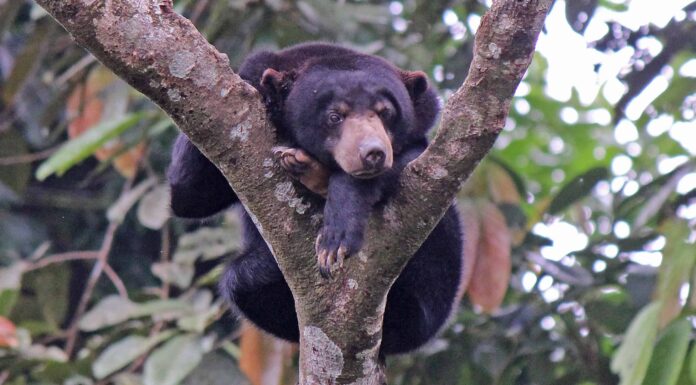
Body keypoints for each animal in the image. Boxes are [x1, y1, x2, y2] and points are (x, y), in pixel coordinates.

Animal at [166, 42, 464, 354]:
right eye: (335, 116)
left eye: (386, 113)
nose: (373, 152)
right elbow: (190, 196)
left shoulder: (424, 122)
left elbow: (417, 162)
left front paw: (337, 233)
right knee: (242, 280)